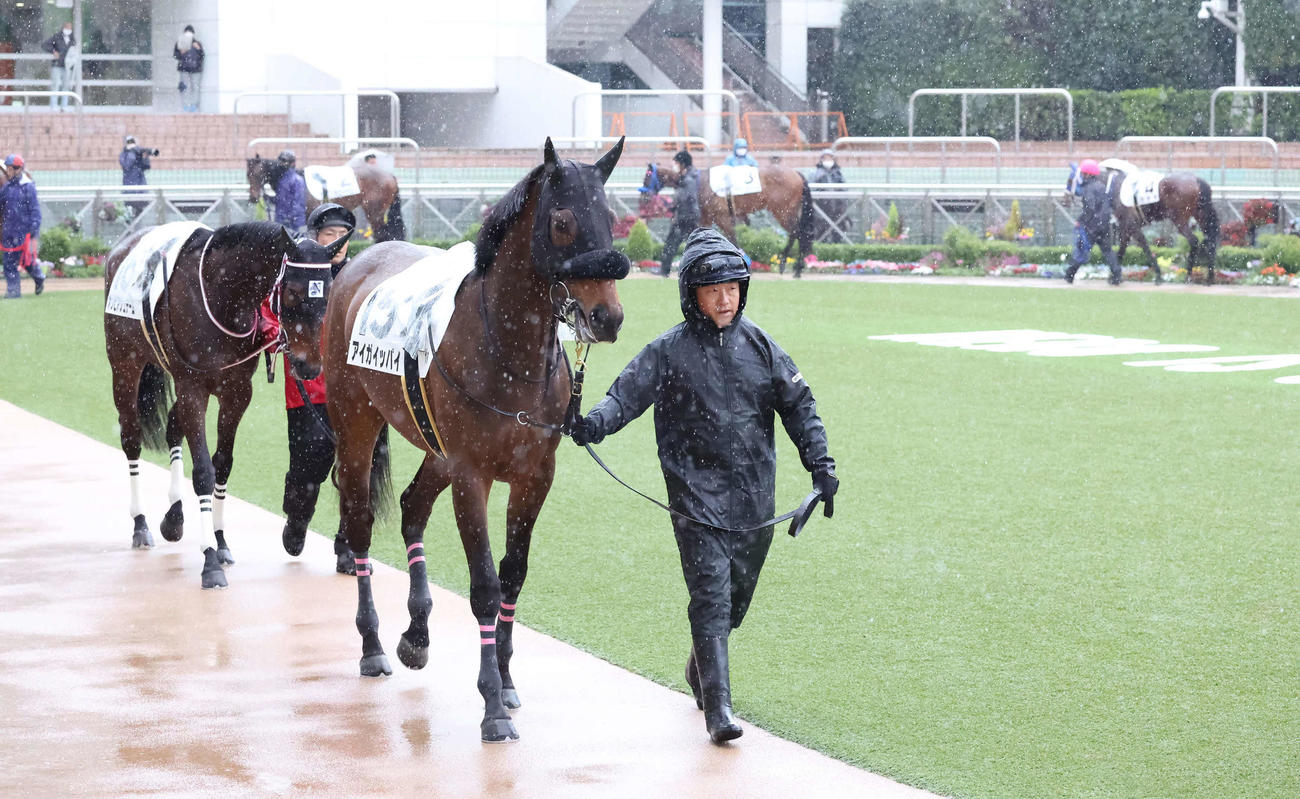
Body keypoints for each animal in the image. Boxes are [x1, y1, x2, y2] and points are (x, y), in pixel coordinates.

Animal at [104, 221, 350, 589]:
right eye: (291, 290)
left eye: (331, 290)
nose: (309, 365)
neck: (221, 294)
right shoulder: (193, 389)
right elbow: (204, 471)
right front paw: (209, 561)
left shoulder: (236, 392)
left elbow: (223, 464)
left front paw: (219, 542)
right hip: (124, 365)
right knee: (131, 437)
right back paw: (141, 523)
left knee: (173, 428)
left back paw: (173, 517)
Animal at [246, 156, 406, 242]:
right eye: (248, 175)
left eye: (258, 175)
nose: (253, 198)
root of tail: (390, 176)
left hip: (374, 212)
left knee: (382, 234)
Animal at [322, 137, 629, 743]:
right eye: (562, 221)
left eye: (610, 218)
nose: (607, 316)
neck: (509, 353)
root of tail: (360, 260)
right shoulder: (472, 474)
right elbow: (485, 584)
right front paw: (490, 704)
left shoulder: (534, 476)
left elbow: (513, 575)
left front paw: (506, 679)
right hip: (356, 424)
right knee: (361, 522)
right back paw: (372, 643)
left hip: (434, 446)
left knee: (412, 505)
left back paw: (416, 633)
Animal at [641, 161, 815, 274]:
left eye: (648, 176)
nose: (644, 197)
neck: (698, 182)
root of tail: (797, 173)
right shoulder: (706, 219)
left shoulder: (721, 217)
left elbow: (732, 239)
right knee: (799, 234)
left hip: (783, 211)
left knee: (796, 233)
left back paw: (788, 265)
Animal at [1066, 161, 1220, 285]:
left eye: (1070, 180)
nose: (1065, 199)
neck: (1113, 186)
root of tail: (1196, 179)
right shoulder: (1126, 227)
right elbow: (1122, 248)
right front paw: (1114, 276)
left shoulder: (1130, 225)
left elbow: (1144, 246)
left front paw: (1157, 275)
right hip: (1201, 216)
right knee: (1210, 241)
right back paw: (1209, 277)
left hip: (1179, 220)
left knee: (1194, 241)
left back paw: (1188, 276)